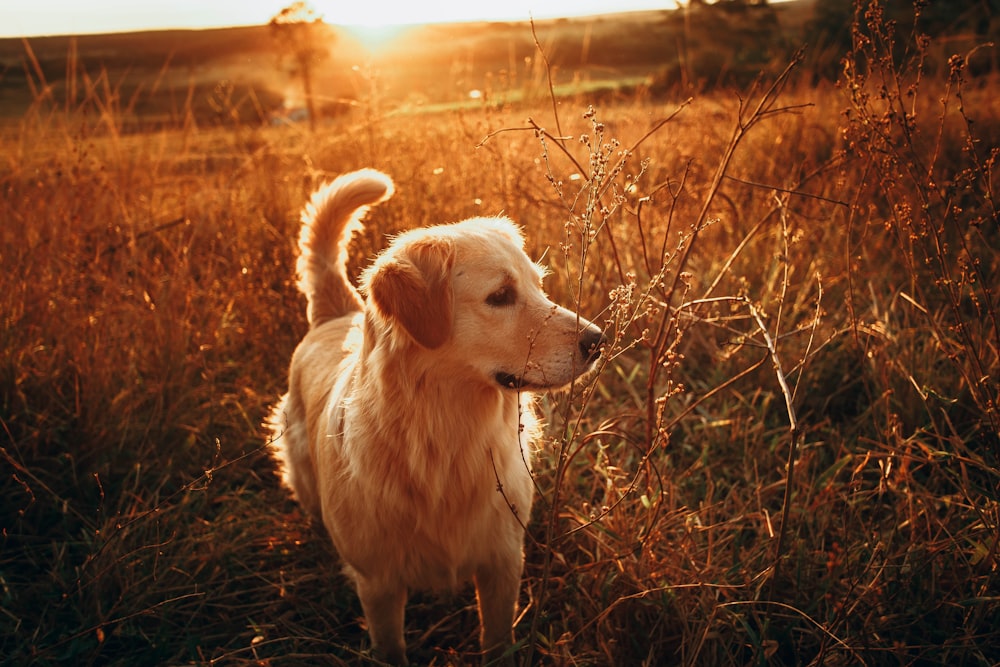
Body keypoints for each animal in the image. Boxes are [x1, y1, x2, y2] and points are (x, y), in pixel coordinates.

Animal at [268, 168, 600, 664]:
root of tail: (335, 314)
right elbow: (390, 648)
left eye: (539, 285)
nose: (599, 339)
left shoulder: (503, 561)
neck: (444, 439)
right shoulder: (379, 585)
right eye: (500, 296)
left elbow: (496, 639)